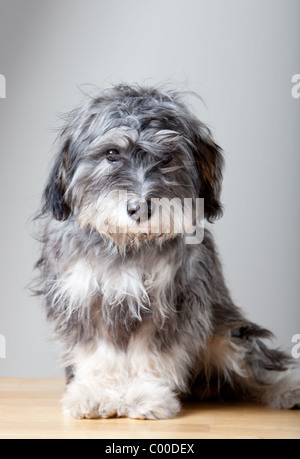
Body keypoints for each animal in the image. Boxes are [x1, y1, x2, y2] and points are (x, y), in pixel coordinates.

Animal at [35, 84, 300, 418]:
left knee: (260, 366)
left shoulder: (169, 302)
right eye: (111, 154)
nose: (139, 208)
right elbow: (97, 354)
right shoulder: (85, 299)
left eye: (167, 158)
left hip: (227, 333)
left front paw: (145, 394)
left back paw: (288, 388)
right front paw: (96, 393)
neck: (128, 243)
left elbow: (152, 354)